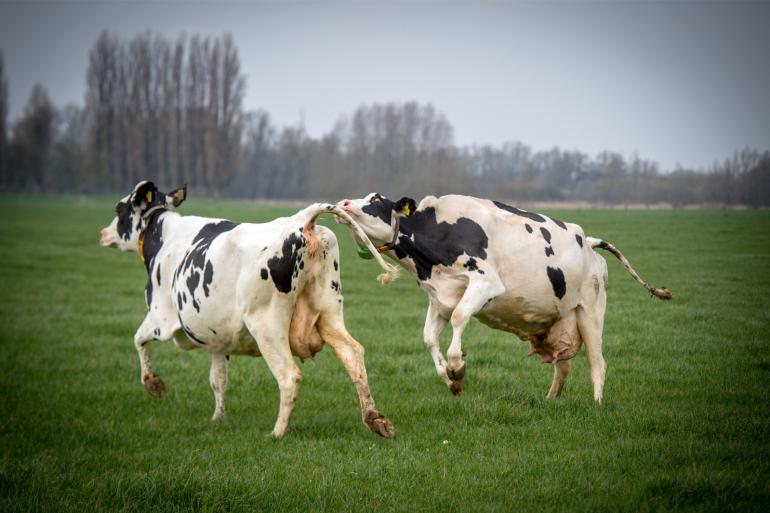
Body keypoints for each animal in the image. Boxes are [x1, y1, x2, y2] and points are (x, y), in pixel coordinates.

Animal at [99, 180, 396, 436]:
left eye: (119, 209)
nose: (103, 234)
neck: (165, 239)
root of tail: (301, 220)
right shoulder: (217, 339)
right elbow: (218, 378)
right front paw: (218, 417)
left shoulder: (160, 317)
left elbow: (138, 339)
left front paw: (154, 384)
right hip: (329, 312)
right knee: (353, 354)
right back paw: (375, 419)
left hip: (266, 325)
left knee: (289, 376)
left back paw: (277, 433)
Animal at [332, 192, 668, 400]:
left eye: (376, 200)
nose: (343, 203)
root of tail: (587, 240)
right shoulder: (440, 297)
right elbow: (428, 338)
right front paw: (449, 378)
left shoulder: (486, 283)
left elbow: (460, 317)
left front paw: (457, 367)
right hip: (561, 321)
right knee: (563, 366)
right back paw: (551, 400)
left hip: (591, 312)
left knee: (598, 363)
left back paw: (596, 405)